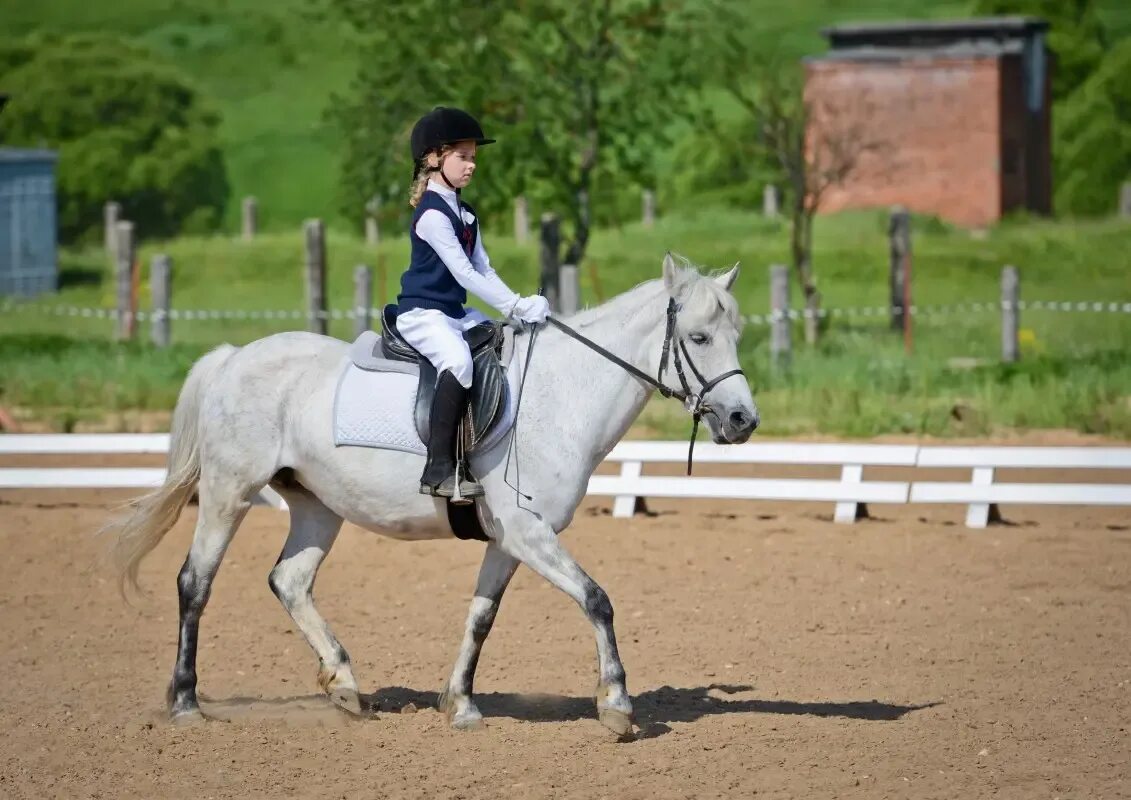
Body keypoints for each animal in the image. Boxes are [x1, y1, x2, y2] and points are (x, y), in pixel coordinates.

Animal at [106, 253, 760, 733]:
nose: (742, 421)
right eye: (699, 338)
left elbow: (481, 617)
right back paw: (186, 703)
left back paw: (345, 687)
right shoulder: (530, 533)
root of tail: (233, 357)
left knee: (289, 581)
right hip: (229, 491)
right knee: (195, 583)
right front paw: (617, 704)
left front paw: (461, 704)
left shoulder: (511, 539)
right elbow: (597, 600)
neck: (560, 392)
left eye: (736, 333)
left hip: (319, 507)